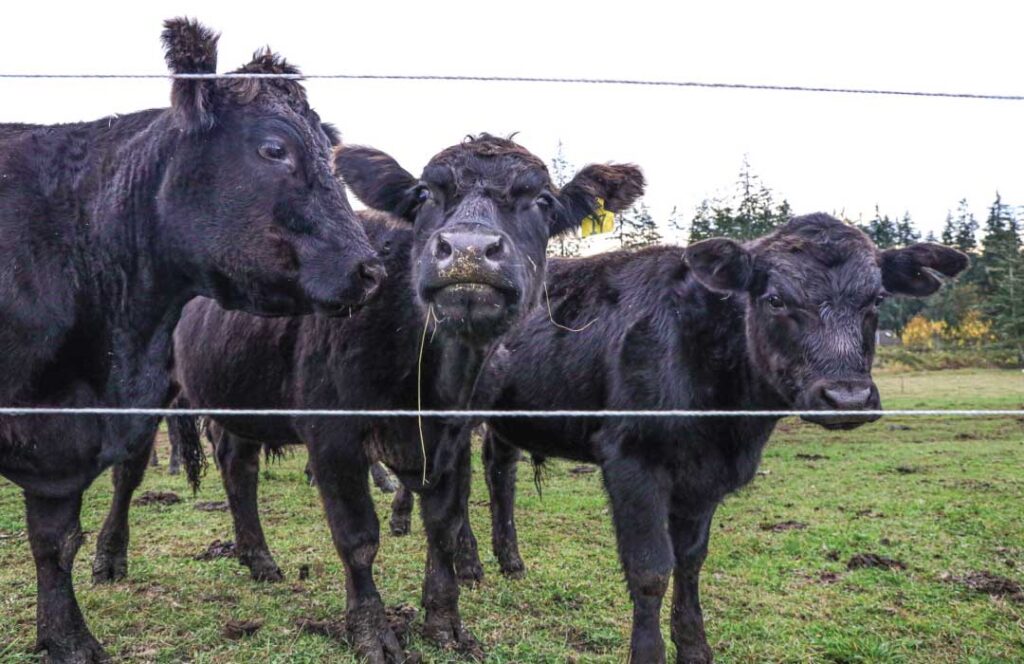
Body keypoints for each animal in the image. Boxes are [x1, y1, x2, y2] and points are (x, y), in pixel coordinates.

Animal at [93, 135, 644, 662]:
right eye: (425, 194)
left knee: (237, 466)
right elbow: (358, 539)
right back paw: (109, 558)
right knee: (130, 471)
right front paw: (372, 633)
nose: (468, 250)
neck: (426, 380)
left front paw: (445, 625)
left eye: (543, 201)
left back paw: (258, 558)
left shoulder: (455, 436)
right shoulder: (332, 436)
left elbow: (444, 528)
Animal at [427, 215, 967, 663]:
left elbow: (689, 563)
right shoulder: (632, 461)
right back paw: (468, 566)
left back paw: (504, 562)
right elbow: (650, 570)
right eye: (775, 300)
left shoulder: (705, 477)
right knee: (461, 485)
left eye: (877, 300)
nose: (848, 396)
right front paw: (648, 654)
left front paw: (694, 648)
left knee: (499, 473)